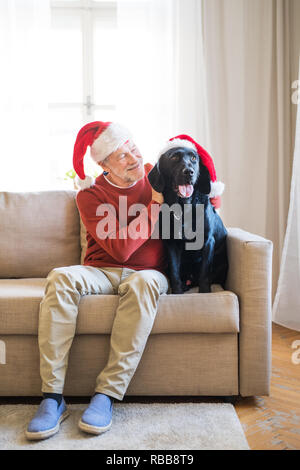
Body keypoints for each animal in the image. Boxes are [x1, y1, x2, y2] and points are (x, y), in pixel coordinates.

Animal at [148, 147, 227, 294]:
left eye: (194, 158)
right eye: (173, 157)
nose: (189, 172)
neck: (184, 209)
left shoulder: (207, 241)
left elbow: (204, 273)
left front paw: (204, 292)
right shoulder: (171, 244)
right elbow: (174, 271)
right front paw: (177, 292)